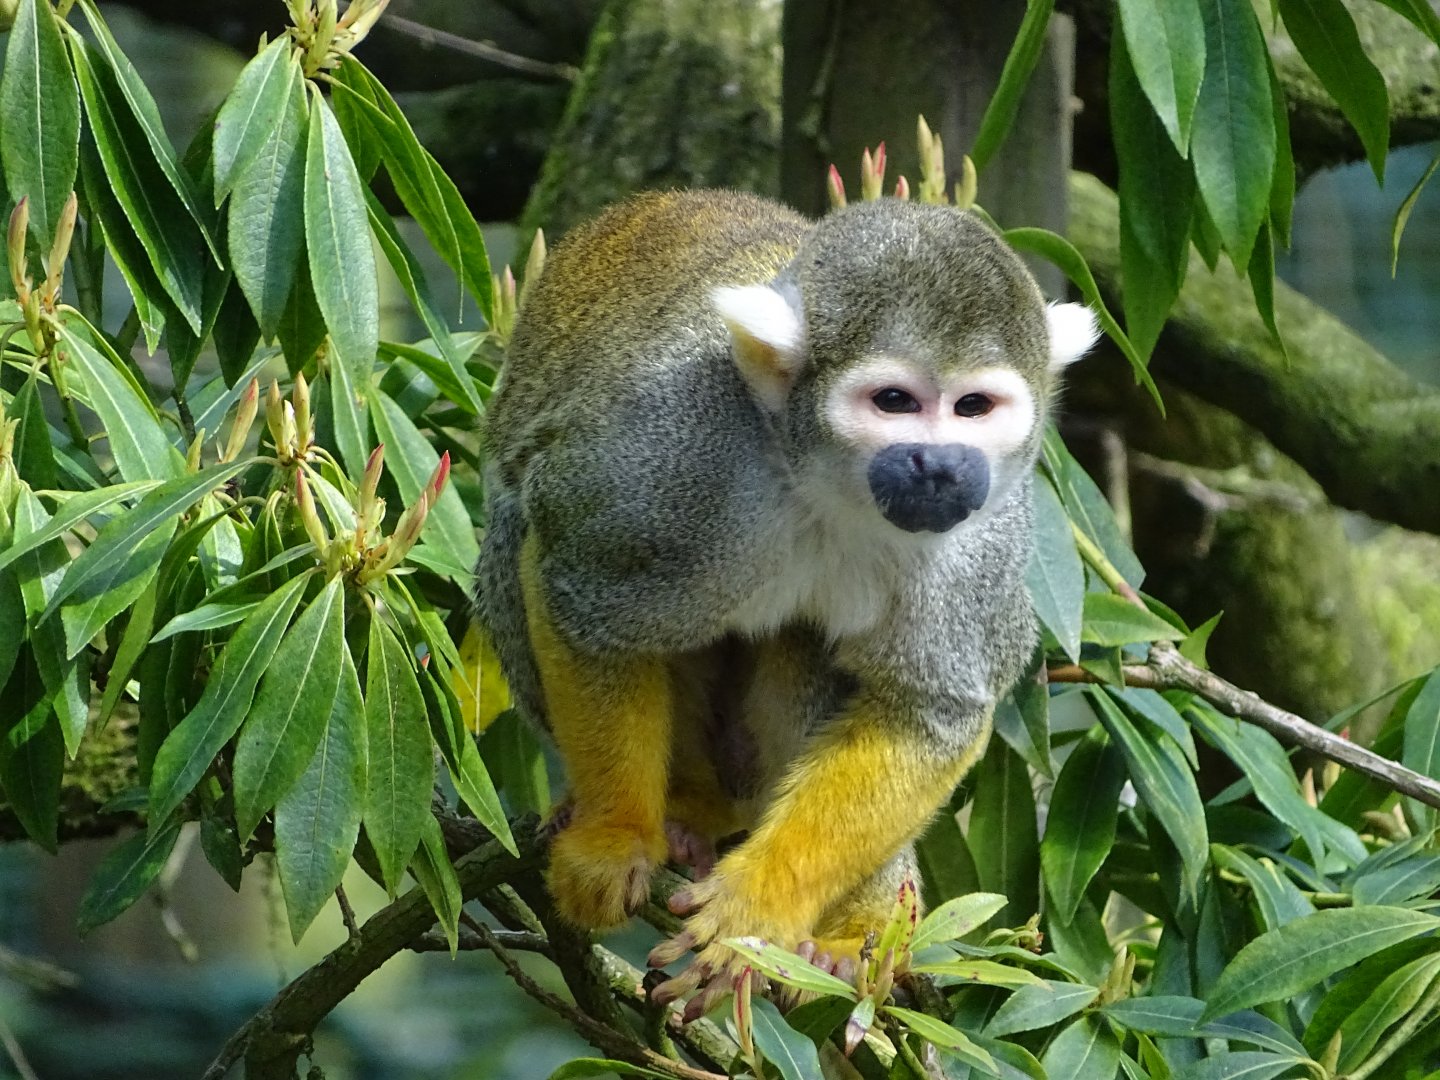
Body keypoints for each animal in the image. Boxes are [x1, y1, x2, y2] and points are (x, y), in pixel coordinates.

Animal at [472, 188, 1097, 1011]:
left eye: (974, 407)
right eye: (894, 401)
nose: (938, 466)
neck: (828, 484)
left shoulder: (987, 526)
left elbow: (932, 707)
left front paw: (757, 911)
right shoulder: (675, 452)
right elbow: (584, 595)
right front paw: (614, 839)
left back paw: (856, 932)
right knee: (522, 529)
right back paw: (687, 812)